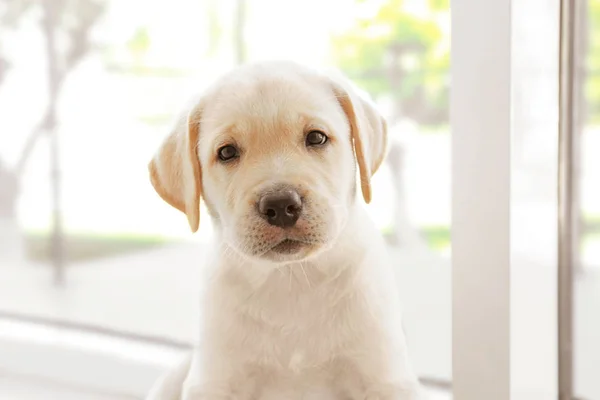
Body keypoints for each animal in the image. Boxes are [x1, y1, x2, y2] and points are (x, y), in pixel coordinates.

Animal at [146, 61, 422, 398]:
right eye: (226, 153)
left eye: (316, 137)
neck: (291, 279)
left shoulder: (384, 377)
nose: (280, 205)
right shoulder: (214, 380)